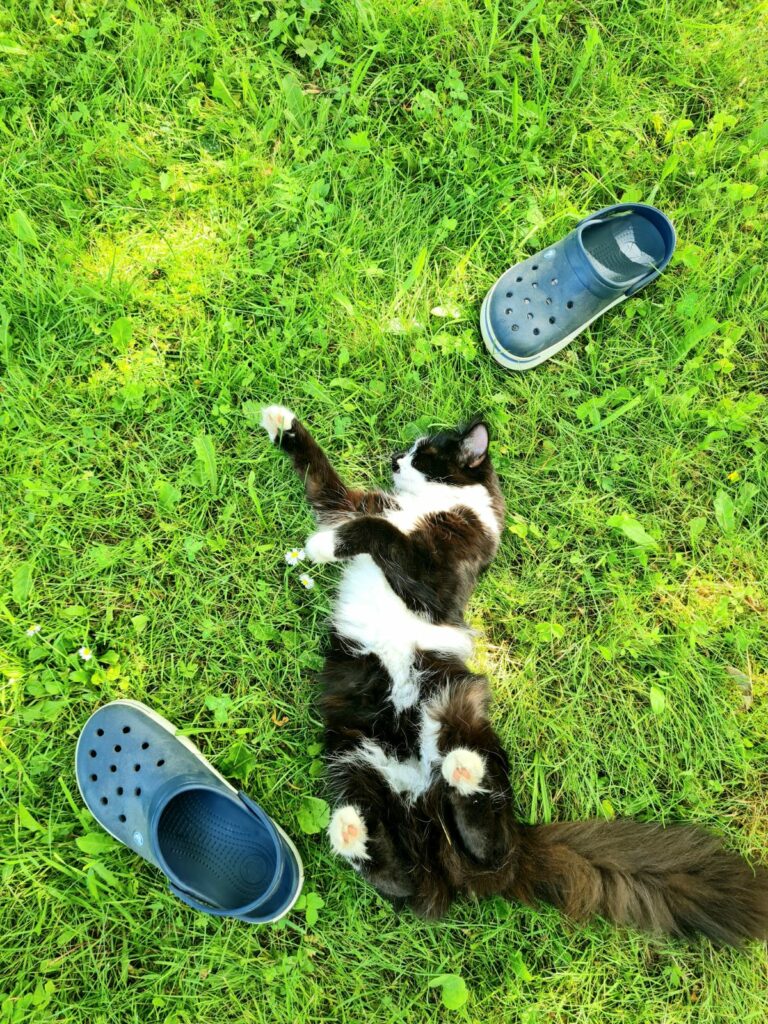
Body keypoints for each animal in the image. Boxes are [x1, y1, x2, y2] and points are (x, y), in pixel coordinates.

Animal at [261, 404, 768, 945]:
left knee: (490, 844)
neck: (426, 505)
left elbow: (382, 532)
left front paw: (327, 544)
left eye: (424, 451)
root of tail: (423, 798)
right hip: (355, 759)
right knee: (411, 880)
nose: (395, 458)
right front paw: (282, 424)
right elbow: (325, 481)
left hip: (455, 706)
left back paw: (464, 774)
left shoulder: (435, 576)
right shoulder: (353, 503)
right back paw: (356, 833)